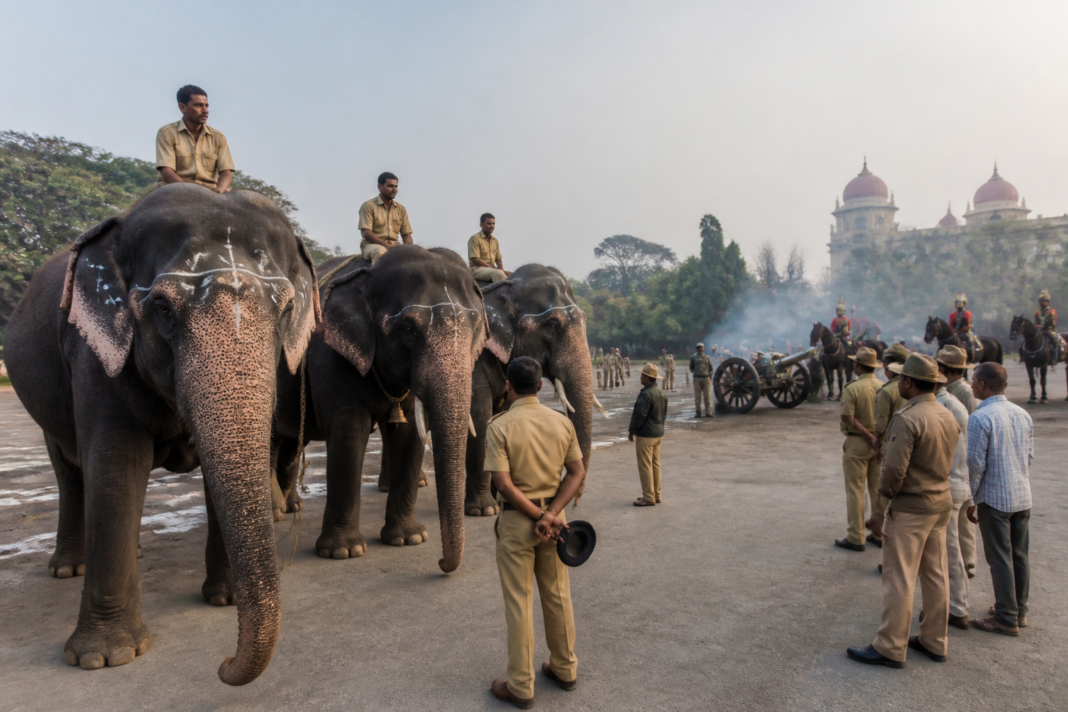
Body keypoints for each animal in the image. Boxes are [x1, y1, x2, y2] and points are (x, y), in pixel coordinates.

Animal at [4, 184, 319, 685]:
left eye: (287, 310)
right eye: (162, 309)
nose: (223, 664)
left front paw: (224, 600)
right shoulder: (94, 353)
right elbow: (116, 466)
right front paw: (104, 657)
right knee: (70, 471)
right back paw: (70, 568)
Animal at [271, 245, 486, 571]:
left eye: (475, 328)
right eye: (408, 329)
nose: (440, 562)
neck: (369, 276)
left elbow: (409, 435)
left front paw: (408, 539)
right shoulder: (330, 354)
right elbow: (349, 434)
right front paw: (344, 552)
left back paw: (289, 506)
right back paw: (275, 512)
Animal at [463, 264, 598, 516]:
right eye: (552, 325)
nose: (575, 504)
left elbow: (503, 412)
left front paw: (503, 496)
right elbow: (479, 416)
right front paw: (484, 510)